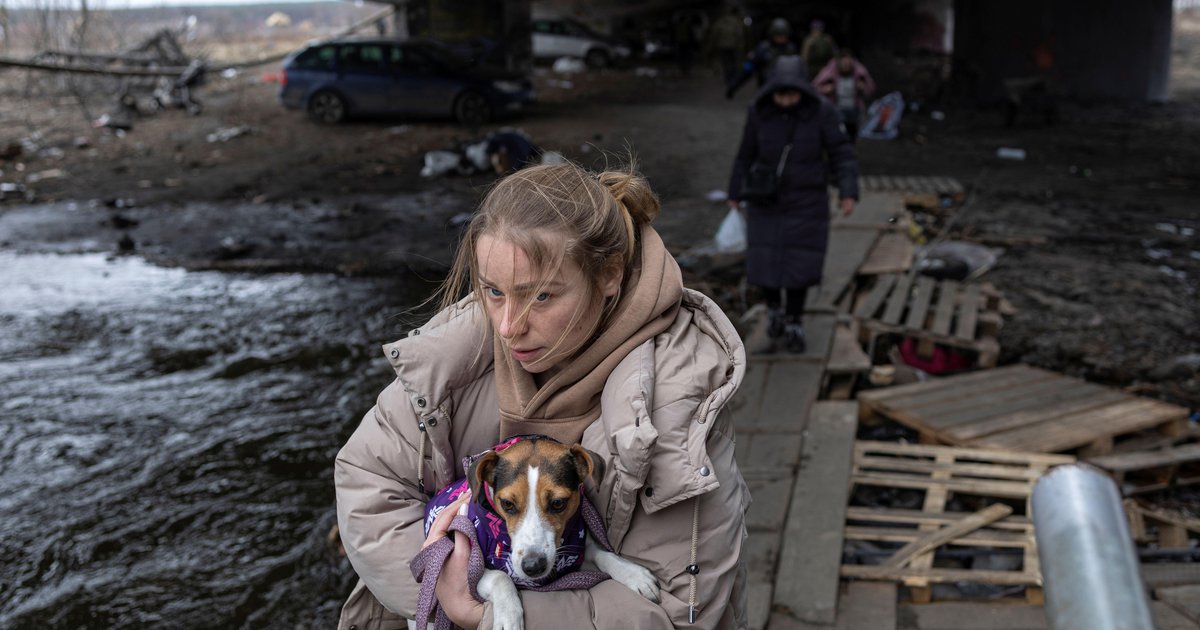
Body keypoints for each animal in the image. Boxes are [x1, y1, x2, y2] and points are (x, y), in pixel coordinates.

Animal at [465, 436, 657, 628]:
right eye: (507, 504)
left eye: (558, 503)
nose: (534, 566)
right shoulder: (473, 575)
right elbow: (500, 577)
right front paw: (508, 617)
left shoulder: (575, 554)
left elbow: (602, 555)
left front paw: (634, 574)